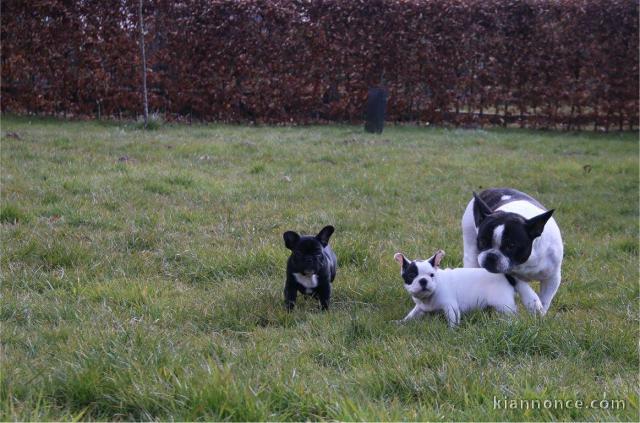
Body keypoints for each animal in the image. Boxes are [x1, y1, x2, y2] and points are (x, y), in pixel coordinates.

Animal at [396, 250, 536, 330]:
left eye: (431, 275)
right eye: (411, 276)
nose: (423, 281)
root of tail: (506, 275)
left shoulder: (450, 306)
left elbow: (453, 320)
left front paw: (452, 331)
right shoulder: (420, 308)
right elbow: (412, 314)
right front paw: (402, 322)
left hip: (503, 304)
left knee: (511, 314)